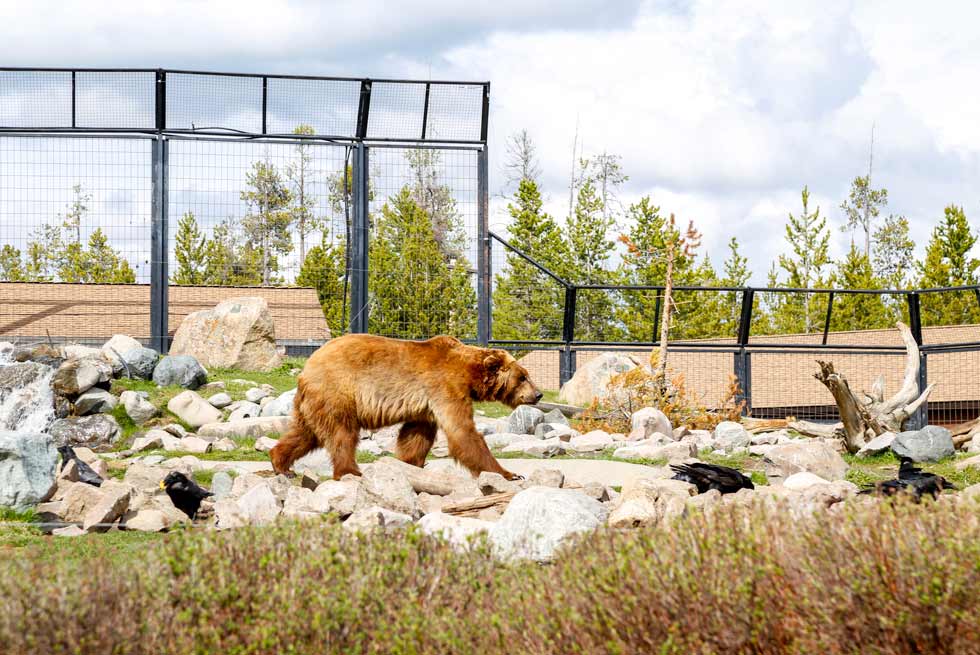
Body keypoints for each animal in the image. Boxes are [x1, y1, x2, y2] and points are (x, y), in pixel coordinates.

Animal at [269, 334, 543, 481]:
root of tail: (307, 368)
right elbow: (463, 432)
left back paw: (281, 464)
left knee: (305, 433)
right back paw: (351, 471)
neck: (470, 374)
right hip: (337, 391)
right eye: (523, 377)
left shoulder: (427, 406)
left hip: (313, 402)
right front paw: (510, 474)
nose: (538, 394)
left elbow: (416, 435)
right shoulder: (445, 387)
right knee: (342, 433)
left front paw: (410, 464)